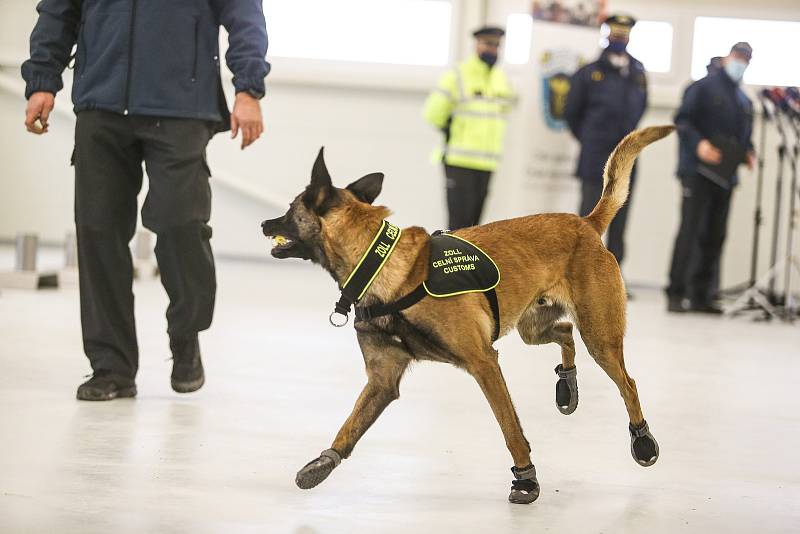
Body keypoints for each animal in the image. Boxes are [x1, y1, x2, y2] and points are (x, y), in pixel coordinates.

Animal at [262, 123, 676, 504]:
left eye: (290, 209)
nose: (264, 224)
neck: (382, 265)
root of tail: (585, 223)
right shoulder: (383, 380)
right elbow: (349, 427)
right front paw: (323, 462)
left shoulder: (484, 362)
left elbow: (510, 428)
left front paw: (526, 479)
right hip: (533, 327)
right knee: (564, 334)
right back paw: (566, 387)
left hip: (600, 337)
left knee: (627, 383)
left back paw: (642, 441)